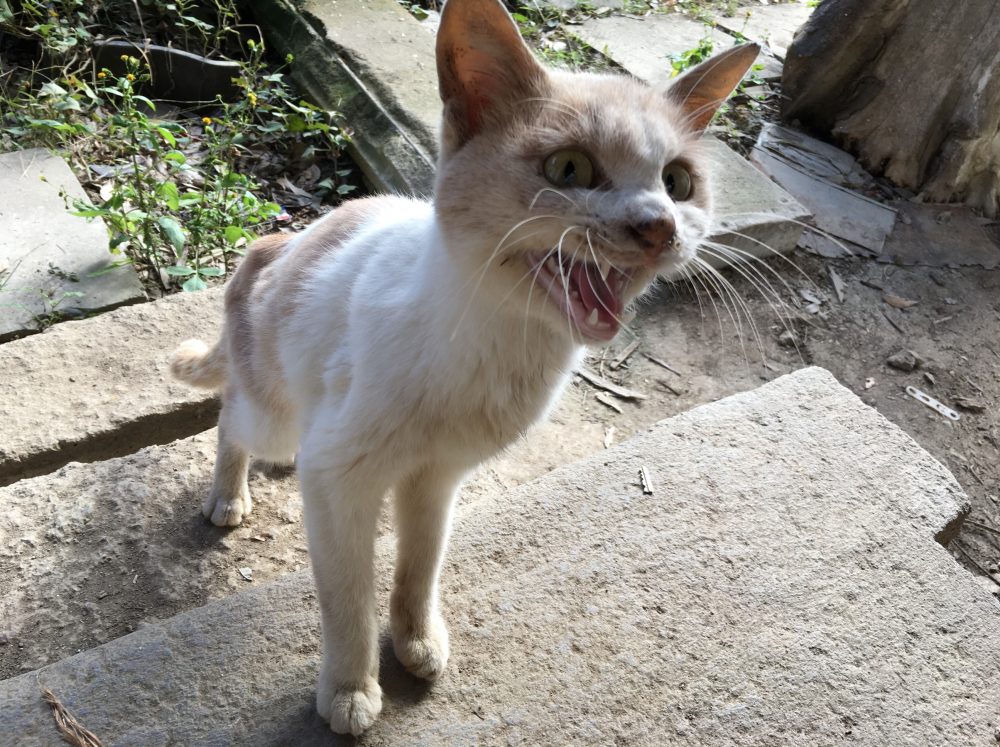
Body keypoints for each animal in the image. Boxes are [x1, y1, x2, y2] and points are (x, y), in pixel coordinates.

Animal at [168, 0, 752, 736]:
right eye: (568, 168)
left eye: (677, 183)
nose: (658, 226)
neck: (497, 346)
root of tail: (275, 241)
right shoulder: (336, 480)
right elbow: (348, 598)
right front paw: (352, 689)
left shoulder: (438, 478)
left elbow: (419, 568)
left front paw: (416, 641)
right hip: (273, 415)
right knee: (229, 419)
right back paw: (229, 497)